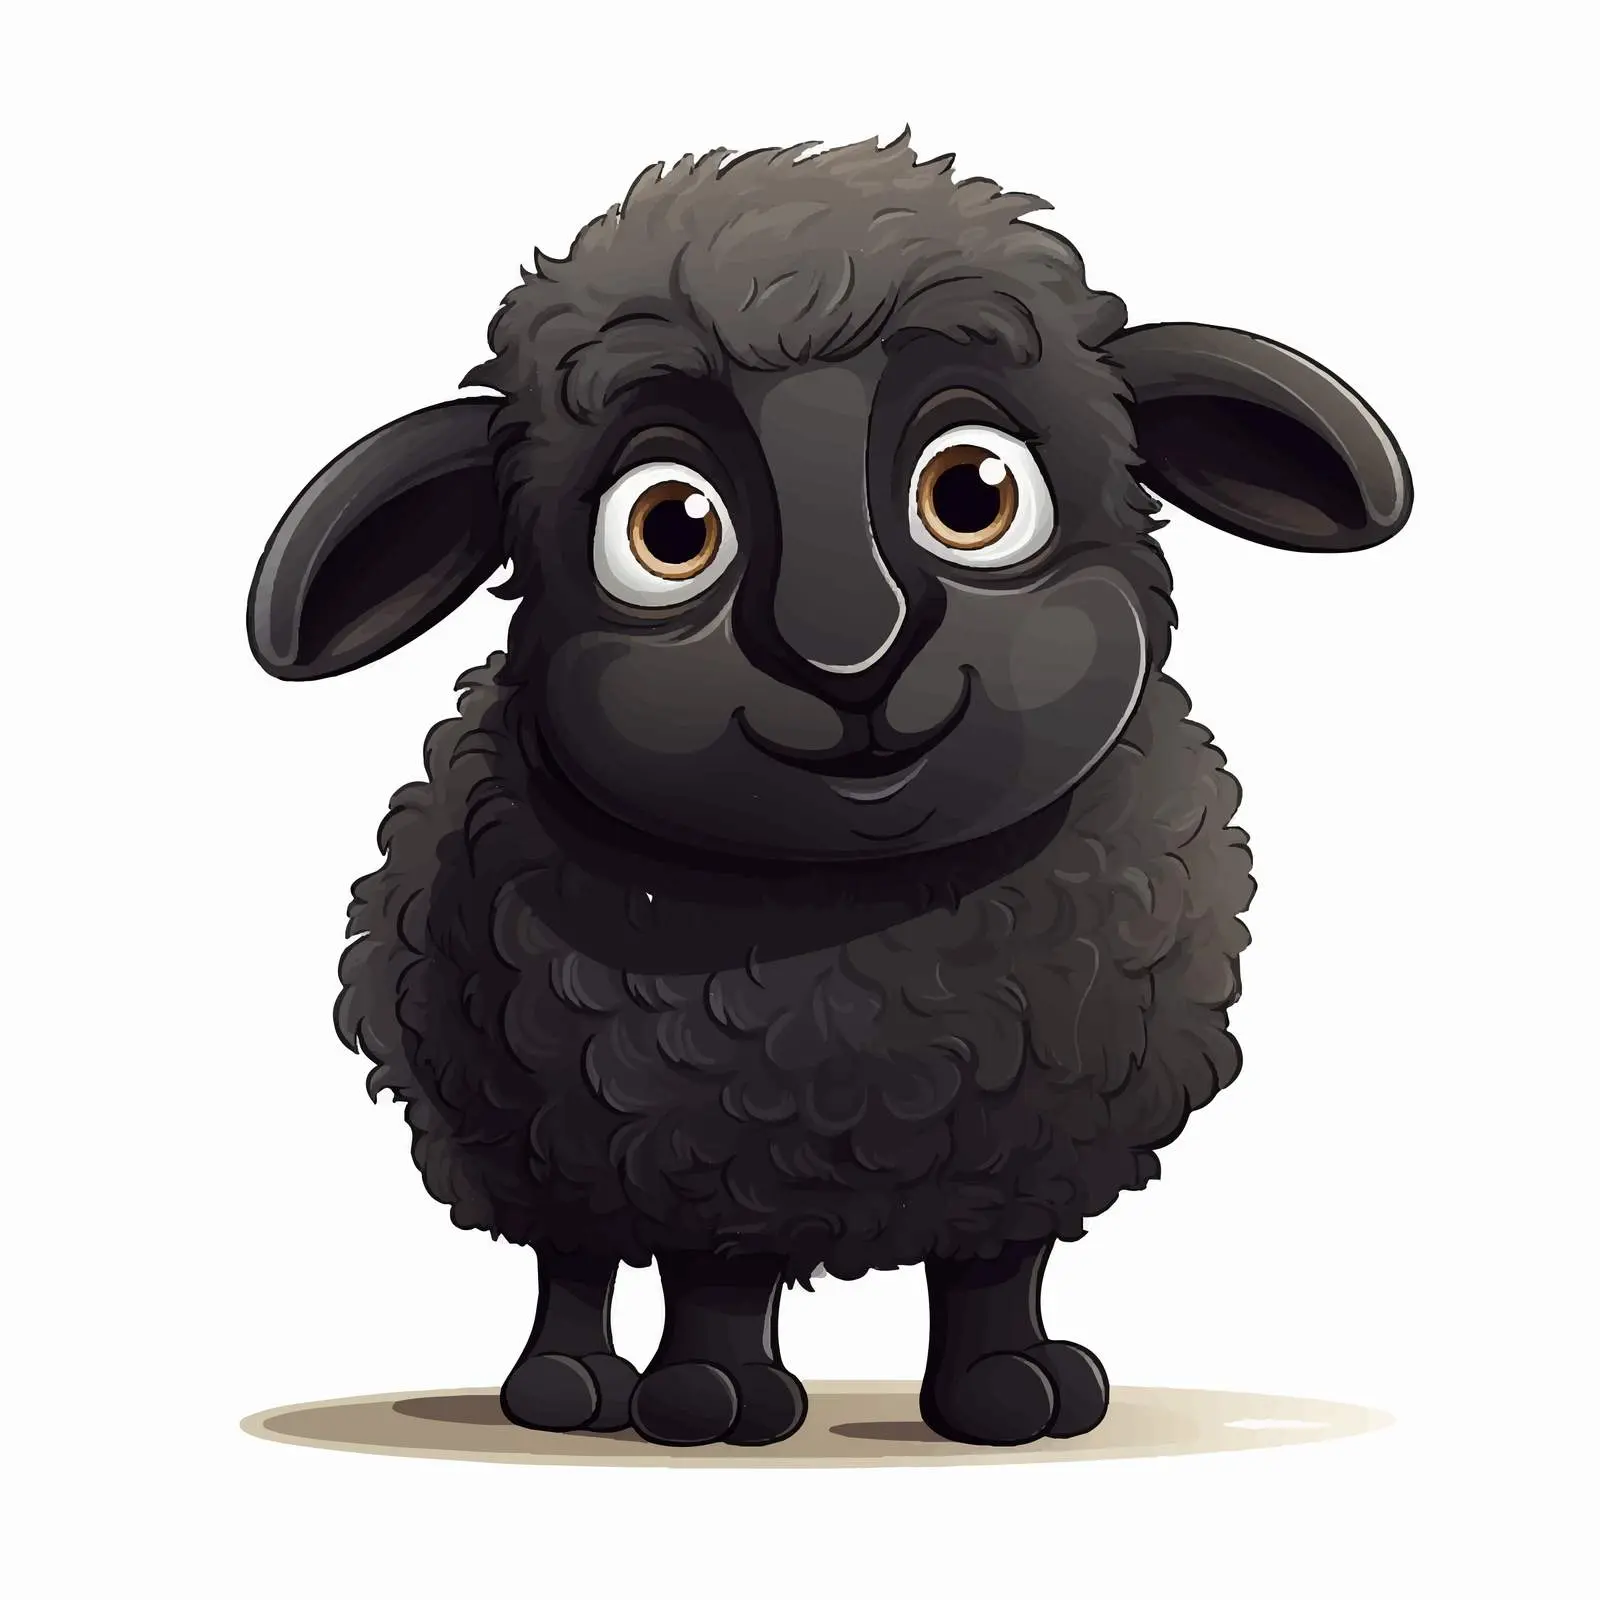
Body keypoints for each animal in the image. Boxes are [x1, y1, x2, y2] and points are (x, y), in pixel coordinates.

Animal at [246, 133, 1412, 1449]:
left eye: (972, 493)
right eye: (670, 527)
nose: (850, 657)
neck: (876, 916)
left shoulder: (1023, 1137)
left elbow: (996, 1267)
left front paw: (1014, 1392)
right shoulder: (683, 1135)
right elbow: (712, 1278)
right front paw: (712, 1399)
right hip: (514, 1123)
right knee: (570, 1262)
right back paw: (568, 1389)